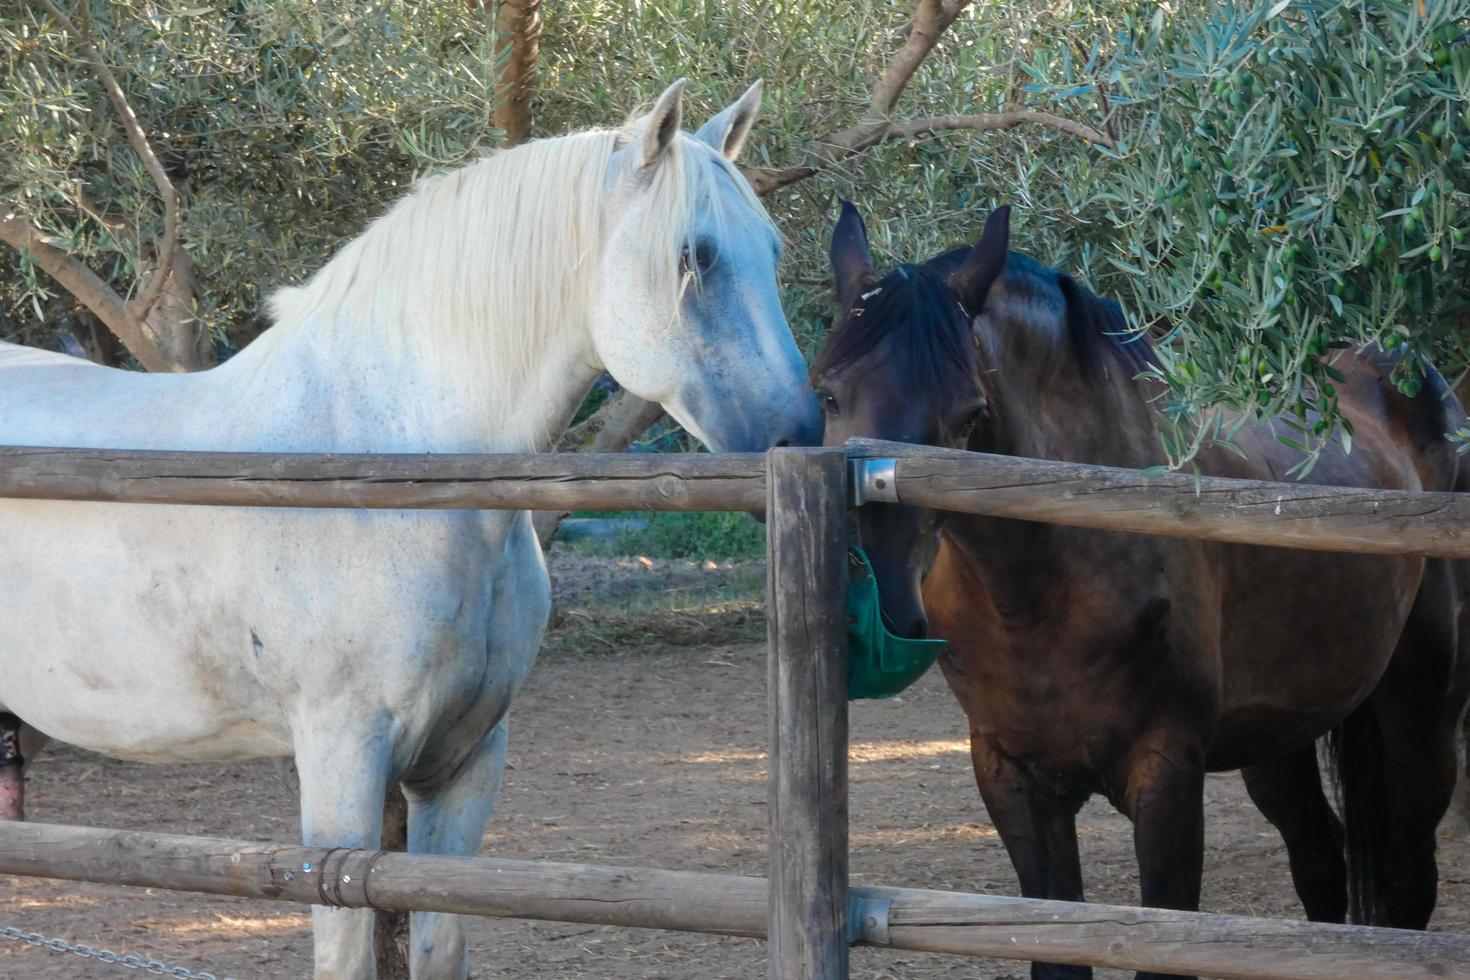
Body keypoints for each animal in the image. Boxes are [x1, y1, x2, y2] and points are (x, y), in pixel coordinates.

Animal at [0, 80, 817, 975]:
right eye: (693, 257)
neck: (382, 469)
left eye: (771, 252)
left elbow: (438, 942)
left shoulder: (463, 765)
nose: (800, 435)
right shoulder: (339, 764)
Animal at [811, 202, 1470, 975]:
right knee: (1321, 871)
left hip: (1419, 718)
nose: (879, 604)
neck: (1042, 593)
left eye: (970, 413)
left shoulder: (1165, 780)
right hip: (1280, 741)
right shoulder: (1012, 782)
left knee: (1407, 886)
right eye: (827, 392)